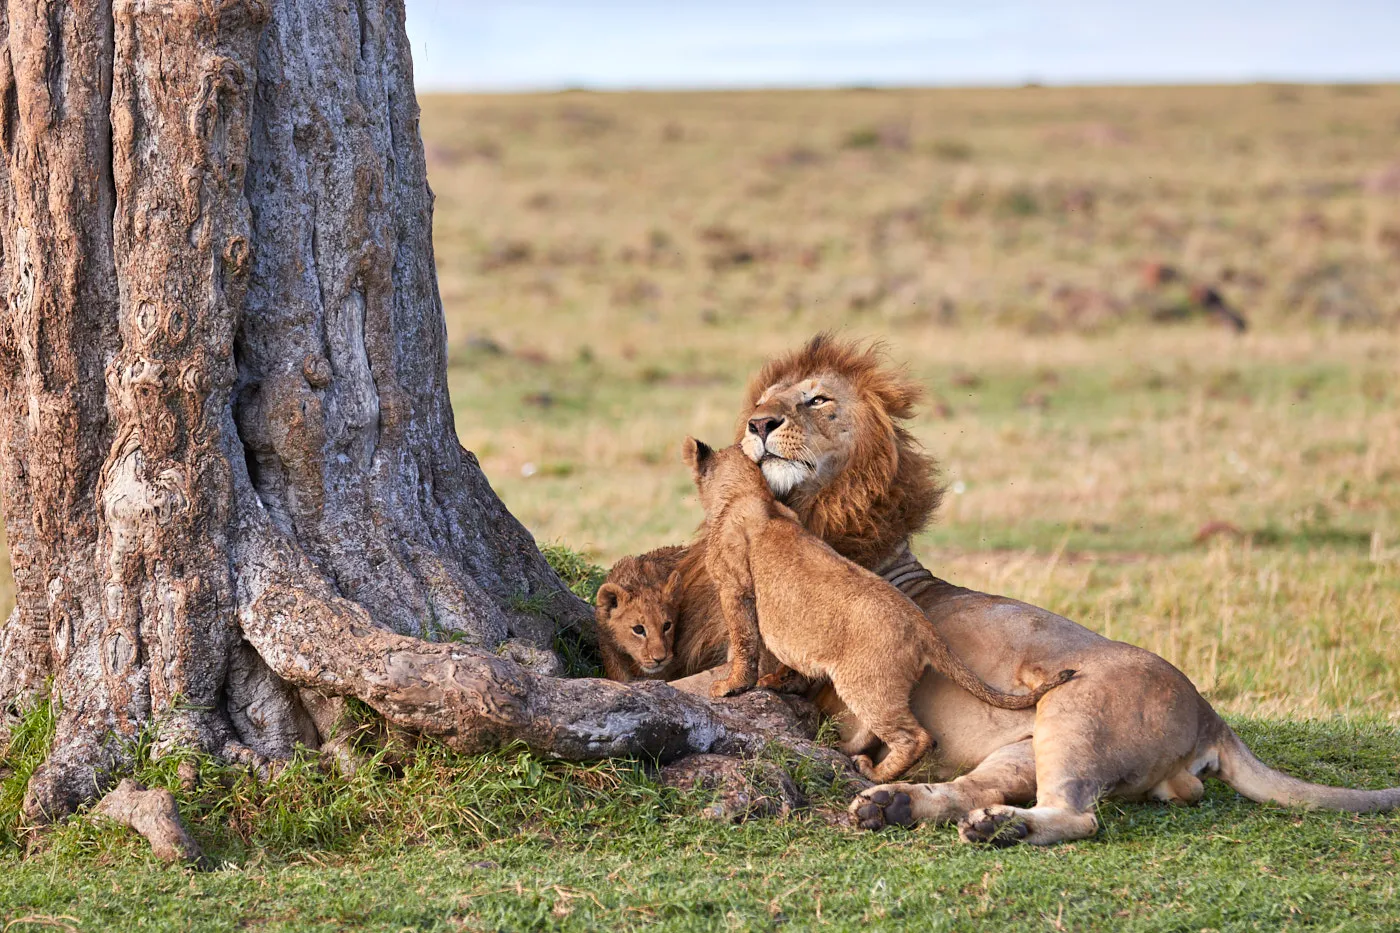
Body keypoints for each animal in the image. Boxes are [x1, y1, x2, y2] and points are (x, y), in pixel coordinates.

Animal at [682, 437, 1074, 782]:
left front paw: (732, 686)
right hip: (879, 688)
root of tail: (924, 627)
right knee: (873, 732)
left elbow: (744, 642)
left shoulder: (734, 587)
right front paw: (779, 682)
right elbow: (778, 657)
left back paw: (874, 774)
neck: (749, 492)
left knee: (914, 737)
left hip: (868, 684)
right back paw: (845, 751)